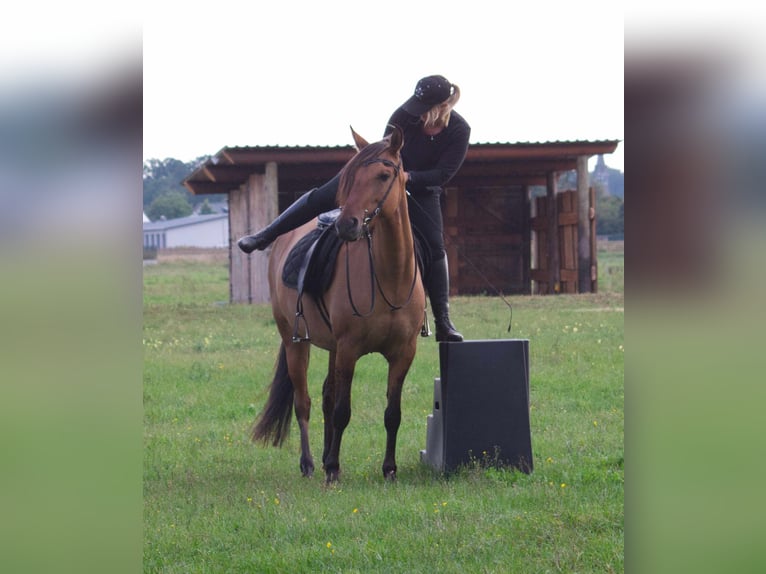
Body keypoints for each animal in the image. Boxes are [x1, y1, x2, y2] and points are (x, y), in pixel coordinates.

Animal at [252, 127, 426, 486]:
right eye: (350, 176)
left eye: (384, 174)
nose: (346, 224)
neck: (390, 276)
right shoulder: (349, 350)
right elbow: (343, 411)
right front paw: (332, 468)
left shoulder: (403, 354)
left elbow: (392, 413)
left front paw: (389, 469)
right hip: (297, 342)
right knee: (303, 402)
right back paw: (309, 463)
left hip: (330, 347)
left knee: (325, 396)